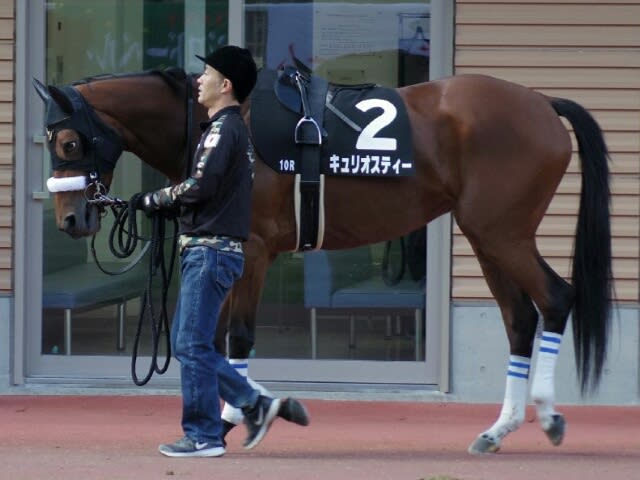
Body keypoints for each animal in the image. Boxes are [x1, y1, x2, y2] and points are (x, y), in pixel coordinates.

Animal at [32, 65, 612, 456]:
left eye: (68, 141)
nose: (71, 220)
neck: (219, 122)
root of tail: (542, 103)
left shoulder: (254, 249)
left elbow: (235, 336)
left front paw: (244, 415)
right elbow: (212, 338)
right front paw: (232, 417)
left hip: (503, 233)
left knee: (555, 298)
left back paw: (548, 415)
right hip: (487, 236)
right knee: (520, 319)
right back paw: (498, 429)